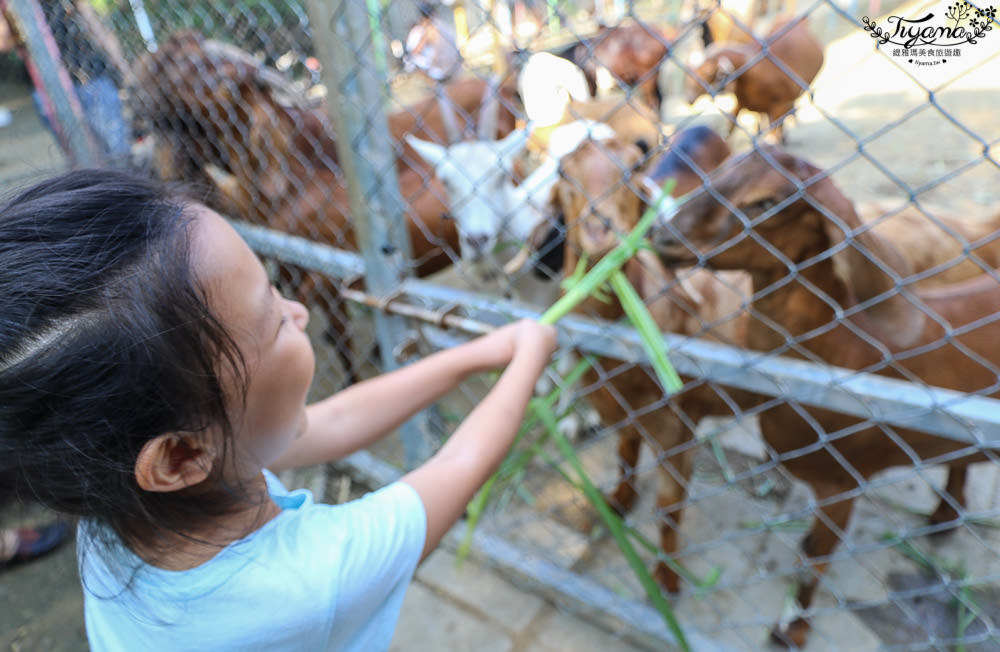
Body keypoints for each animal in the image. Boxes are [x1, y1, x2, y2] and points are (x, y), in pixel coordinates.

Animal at [544, 138, 748, 592]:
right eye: (563, 172)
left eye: (633, 168)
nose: (599, 230)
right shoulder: (621, 412)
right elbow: (624, 455)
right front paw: (617, 503)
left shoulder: (677, 431)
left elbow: (669, 508)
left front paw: (667, 578)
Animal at [652, 144, 1000, 648]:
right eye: (719, 171)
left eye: (766, 202)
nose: (662, 236)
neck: (847, 346)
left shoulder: (844, 480)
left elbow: (814, 556)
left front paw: (791, 630)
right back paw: (943, 516)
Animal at [684, 17, 824, 145]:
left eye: (709, 73)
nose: (689, 98)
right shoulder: (741, 103)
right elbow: (730, 127)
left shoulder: (780, 105)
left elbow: (773, 137)